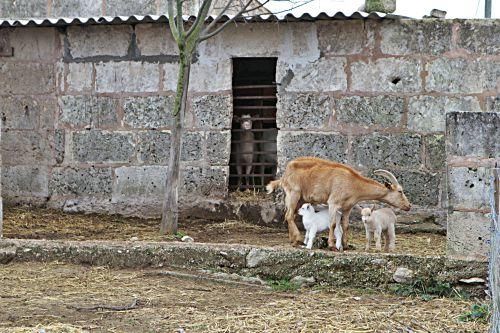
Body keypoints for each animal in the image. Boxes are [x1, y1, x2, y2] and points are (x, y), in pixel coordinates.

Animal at [266, 156, 410, 249]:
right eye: (400, 191)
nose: (408, 206)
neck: (354, 183)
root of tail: (285, 173)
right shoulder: (333, 203)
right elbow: (333, 223)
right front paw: (331, 245)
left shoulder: (347, 207)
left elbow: (345, 225)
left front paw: (346, 245)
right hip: (293, 193)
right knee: (289, 215)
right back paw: (297, 239)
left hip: (301, 198)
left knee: (291, 215)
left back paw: (293, 240)